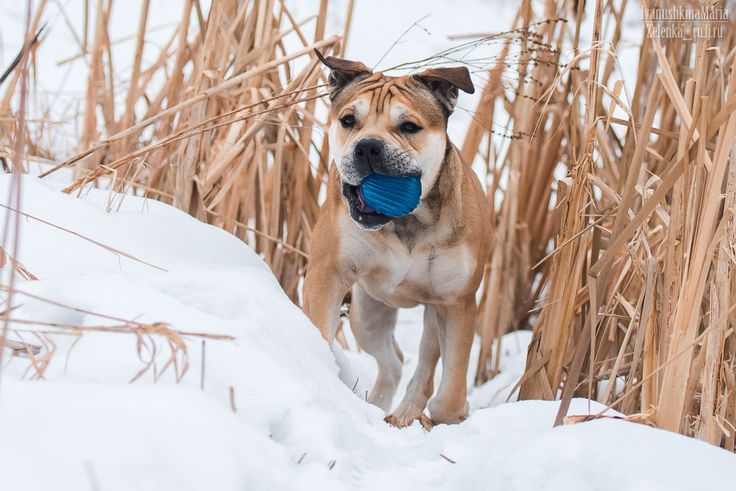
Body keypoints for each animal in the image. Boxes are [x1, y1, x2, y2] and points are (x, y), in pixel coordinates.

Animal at [302, 48, 492, 428]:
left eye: (409, 127)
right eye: (348, 120)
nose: (368, 147)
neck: (406, 221)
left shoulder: (457, 301)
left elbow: (450, 390)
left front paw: (450, 415)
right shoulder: (327, 275)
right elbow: (320, 329)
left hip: (432, 310)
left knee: (424, 361)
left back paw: (406, 412)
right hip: (367, 314)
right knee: (392, 361)